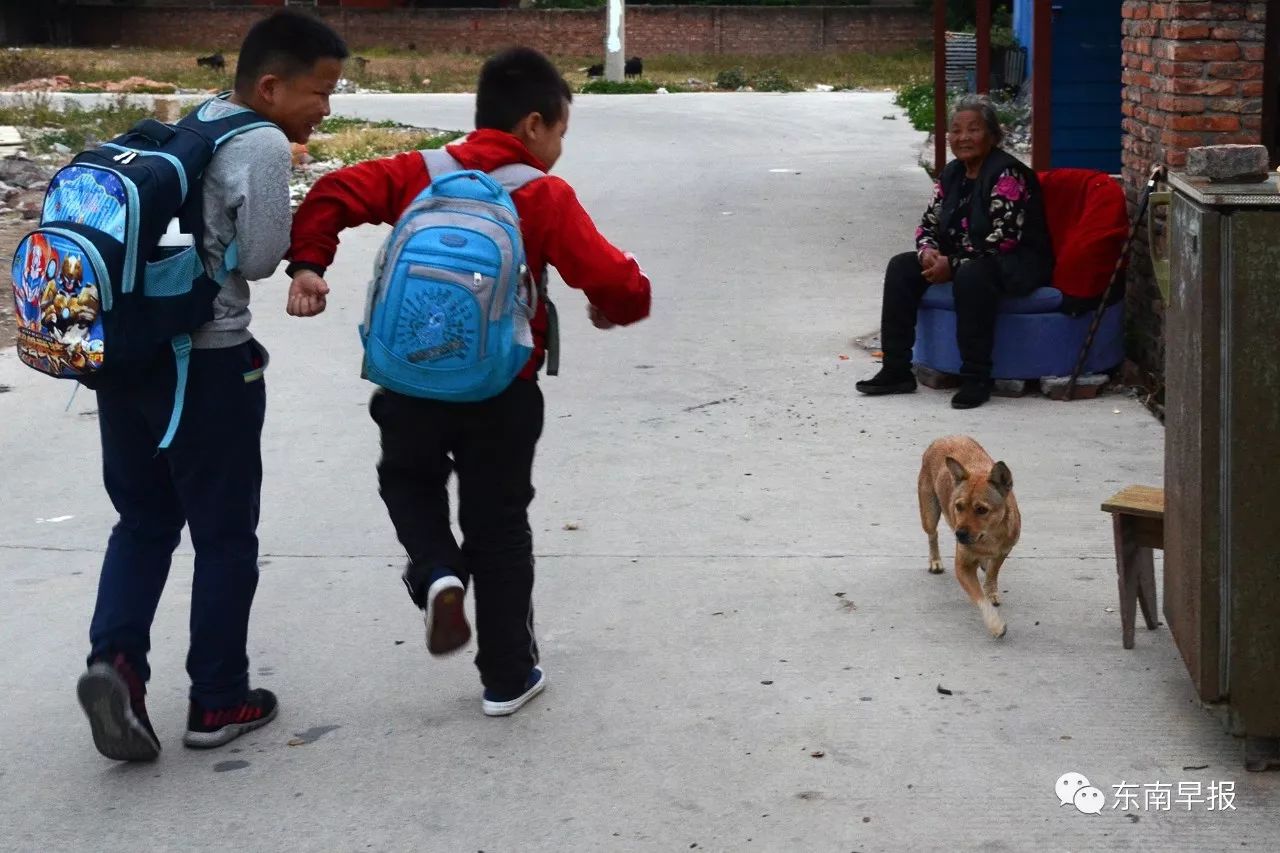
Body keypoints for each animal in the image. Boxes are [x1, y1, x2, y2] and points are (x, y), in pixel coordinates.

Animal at [921, 435, 1018, 635]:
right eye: (958, 506)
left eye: (981, 510)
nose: (959, 534)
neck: (989, 537)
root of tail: (944, 437)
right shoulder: (963, 567)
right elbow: (980, 599)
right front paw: (994, 623)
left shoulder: (1005, 550)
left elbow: (993, 572)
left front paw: (990, 590)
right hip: (929, 513)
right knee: (932, 535)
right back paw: (935, 561)